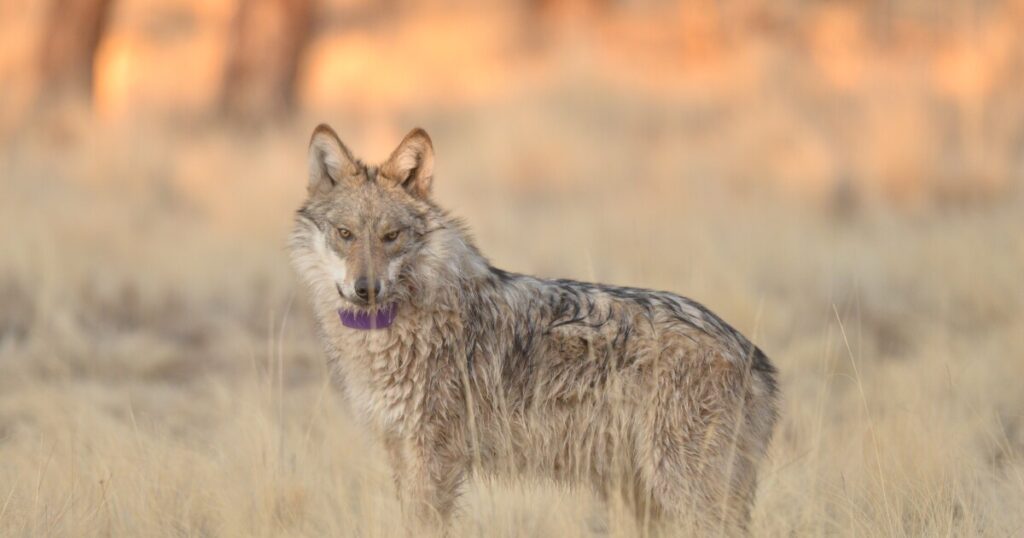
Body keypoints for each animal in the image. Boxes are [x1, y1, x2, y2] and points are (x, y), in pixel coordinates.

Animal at [289, 124, 779, 536]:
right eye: (345, 234)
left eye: (391, 236)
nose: (365, 289)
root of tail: (755, 357)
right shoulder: (400, 451)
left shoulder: (433, 458)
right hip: (640, 494)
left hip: (683, 491)